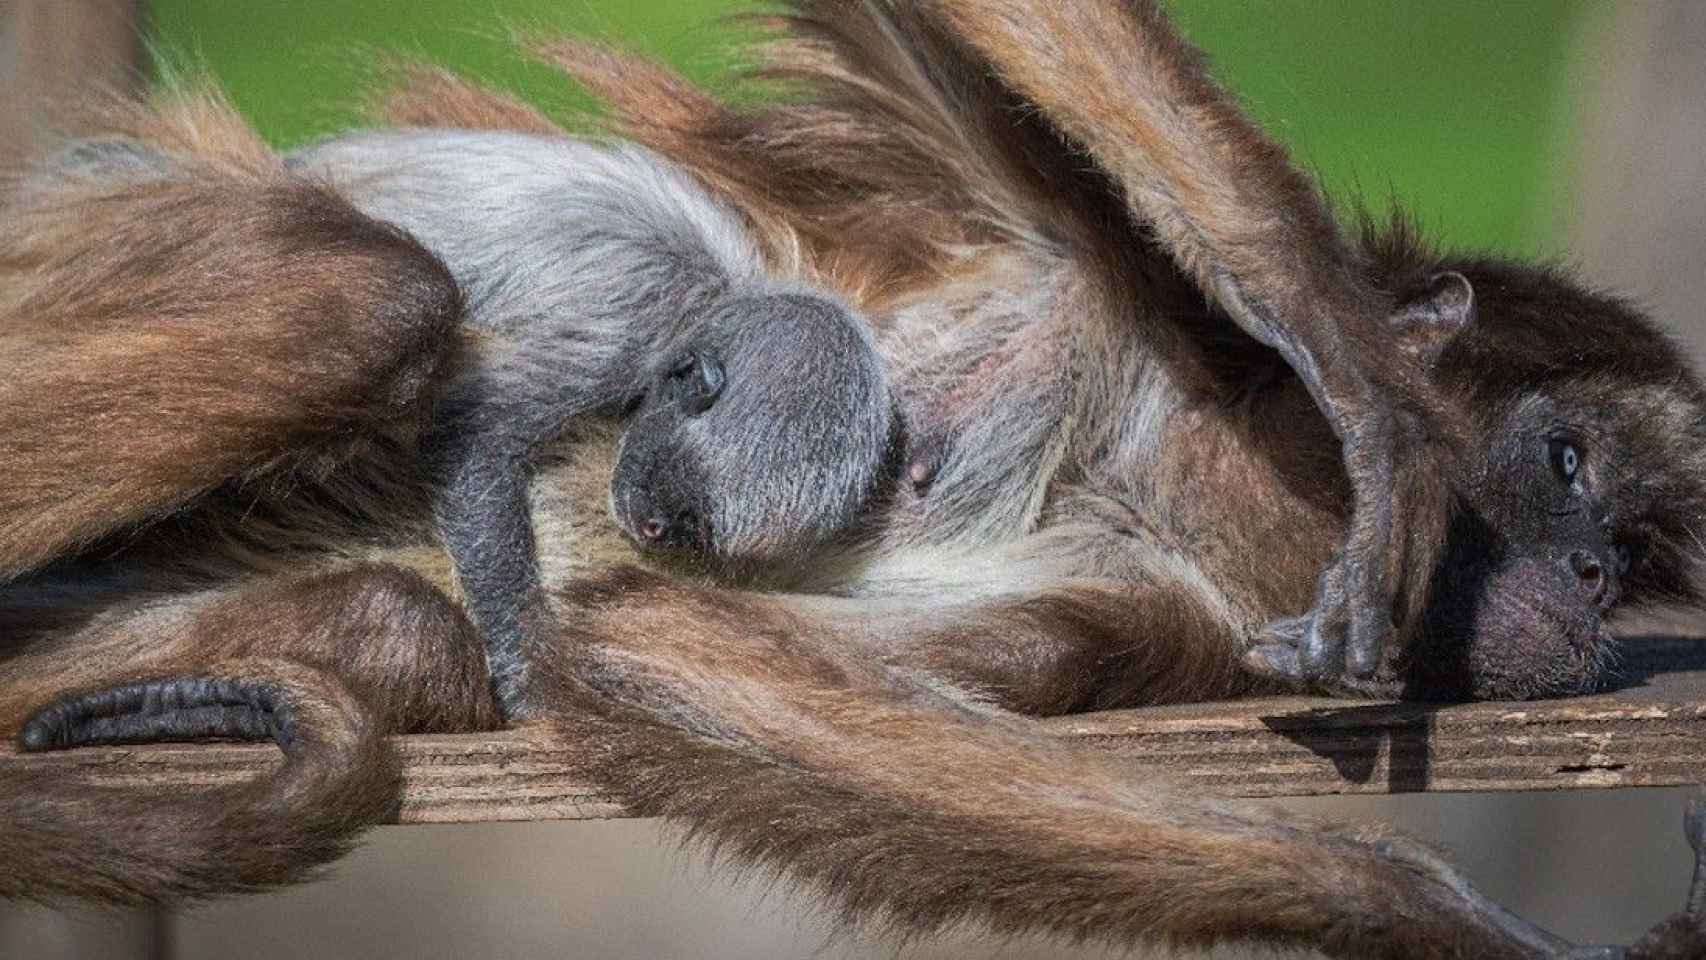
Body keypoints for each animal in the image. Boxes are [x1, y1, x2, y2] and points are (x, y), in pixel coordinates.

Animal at [3, 1, 1706, 960]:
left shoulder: (1176, 618)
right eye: (1563, 464)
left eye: (1630, 542)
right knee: (358, 303)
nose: (1593, 577)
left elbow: (660, 650)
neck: (1162, 474)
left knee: (393, 623)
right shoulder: (1101, 277)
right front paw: (1360, 376)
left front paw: (1433, 916)